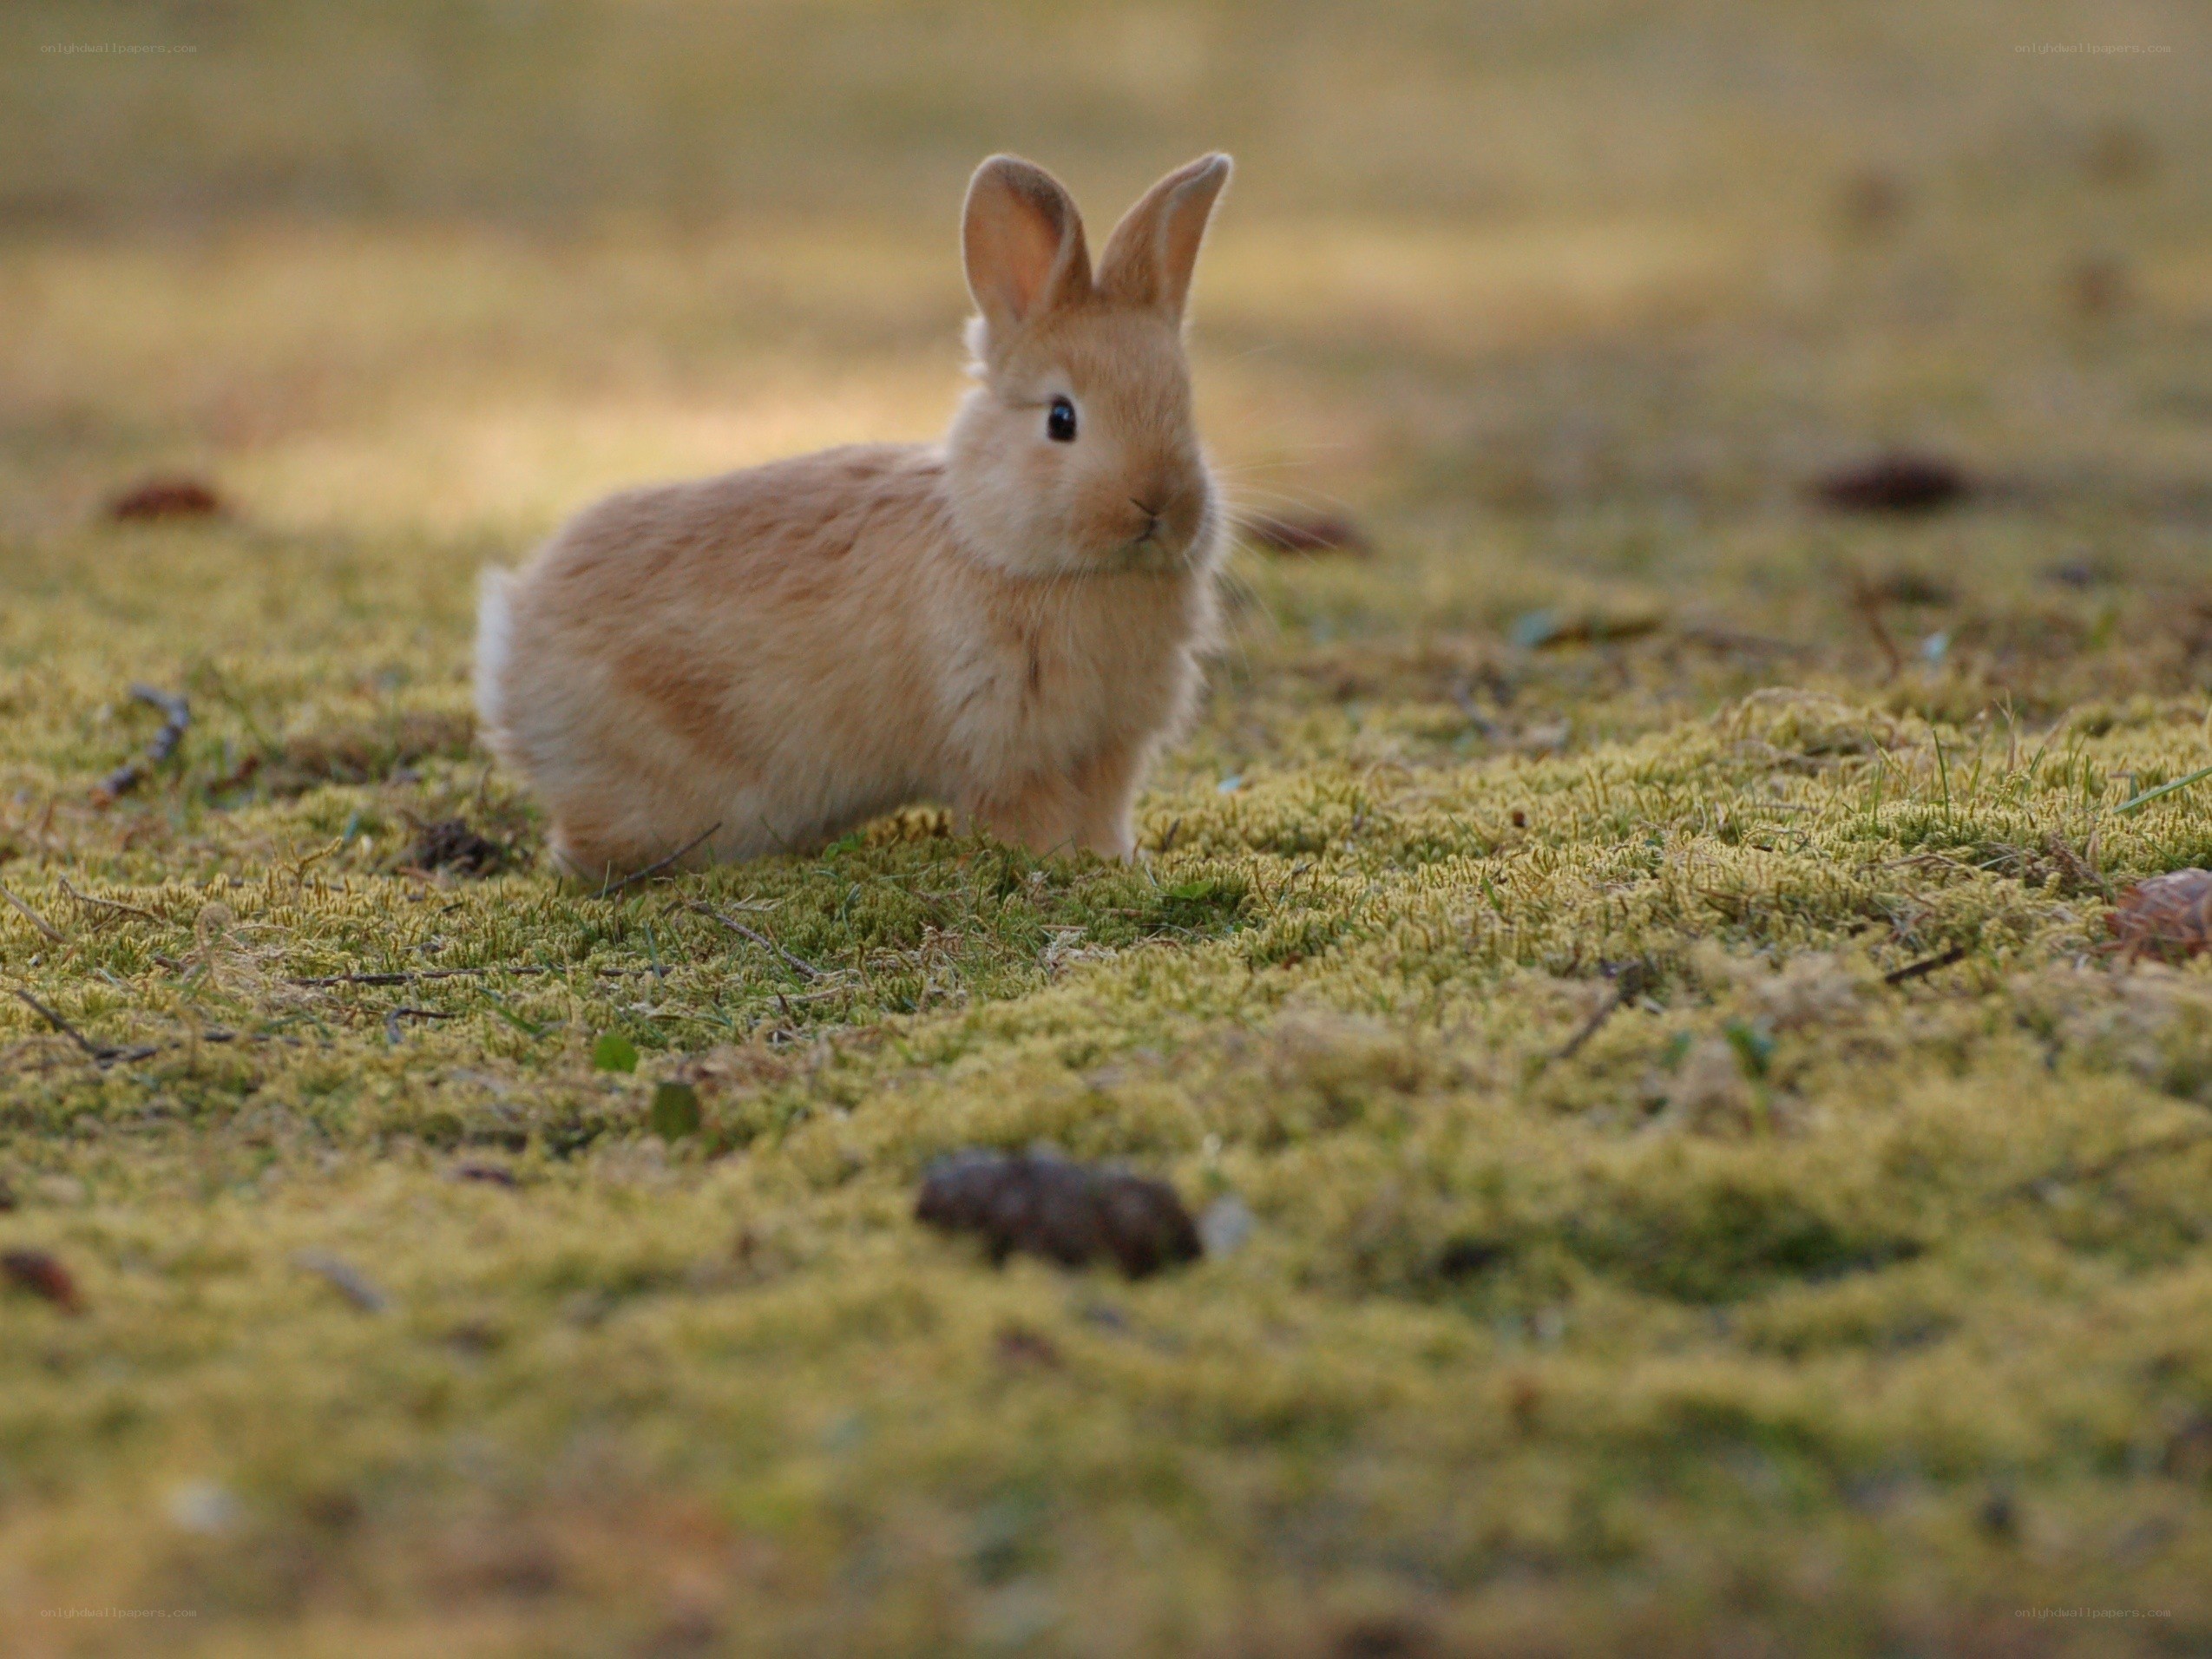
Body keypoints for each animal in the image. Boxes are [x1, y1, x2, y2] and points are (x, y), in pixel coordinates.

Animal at [475, 151, 1235, 879]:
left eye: (1183, 406)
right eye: (1061, 418)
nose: (1158, 504)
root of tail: (512, 644)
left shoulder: (1110, 746)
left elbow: (1103, 810)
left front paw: (1115, 862)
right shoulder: (1009, 748)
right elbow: (1029, 817)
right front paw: (1053, 864)